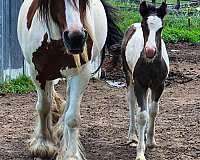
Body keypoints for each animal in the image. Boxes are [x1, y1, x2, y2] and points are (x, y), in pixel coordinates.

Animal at [16, 0, 122, 159]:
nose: (76, 38)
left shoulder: (81, 72)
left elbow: (72, 118)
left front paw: (70, 154)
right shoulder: (37, 72)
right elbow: (43, 107)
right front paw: (43, 144)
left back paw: (60, 127)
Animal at [121, 1, 170, 160]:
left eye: (161, 28)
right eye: (144, 26)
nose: (150, 51)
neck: (151, 63)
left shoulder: (159, 85)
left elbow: (153, 111)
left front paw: (150, 141)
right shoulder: (140, 84)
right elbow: (142, 115)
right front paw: (140, 153)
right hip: (129, 76)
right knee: (131, 102)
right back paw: (132, 136)